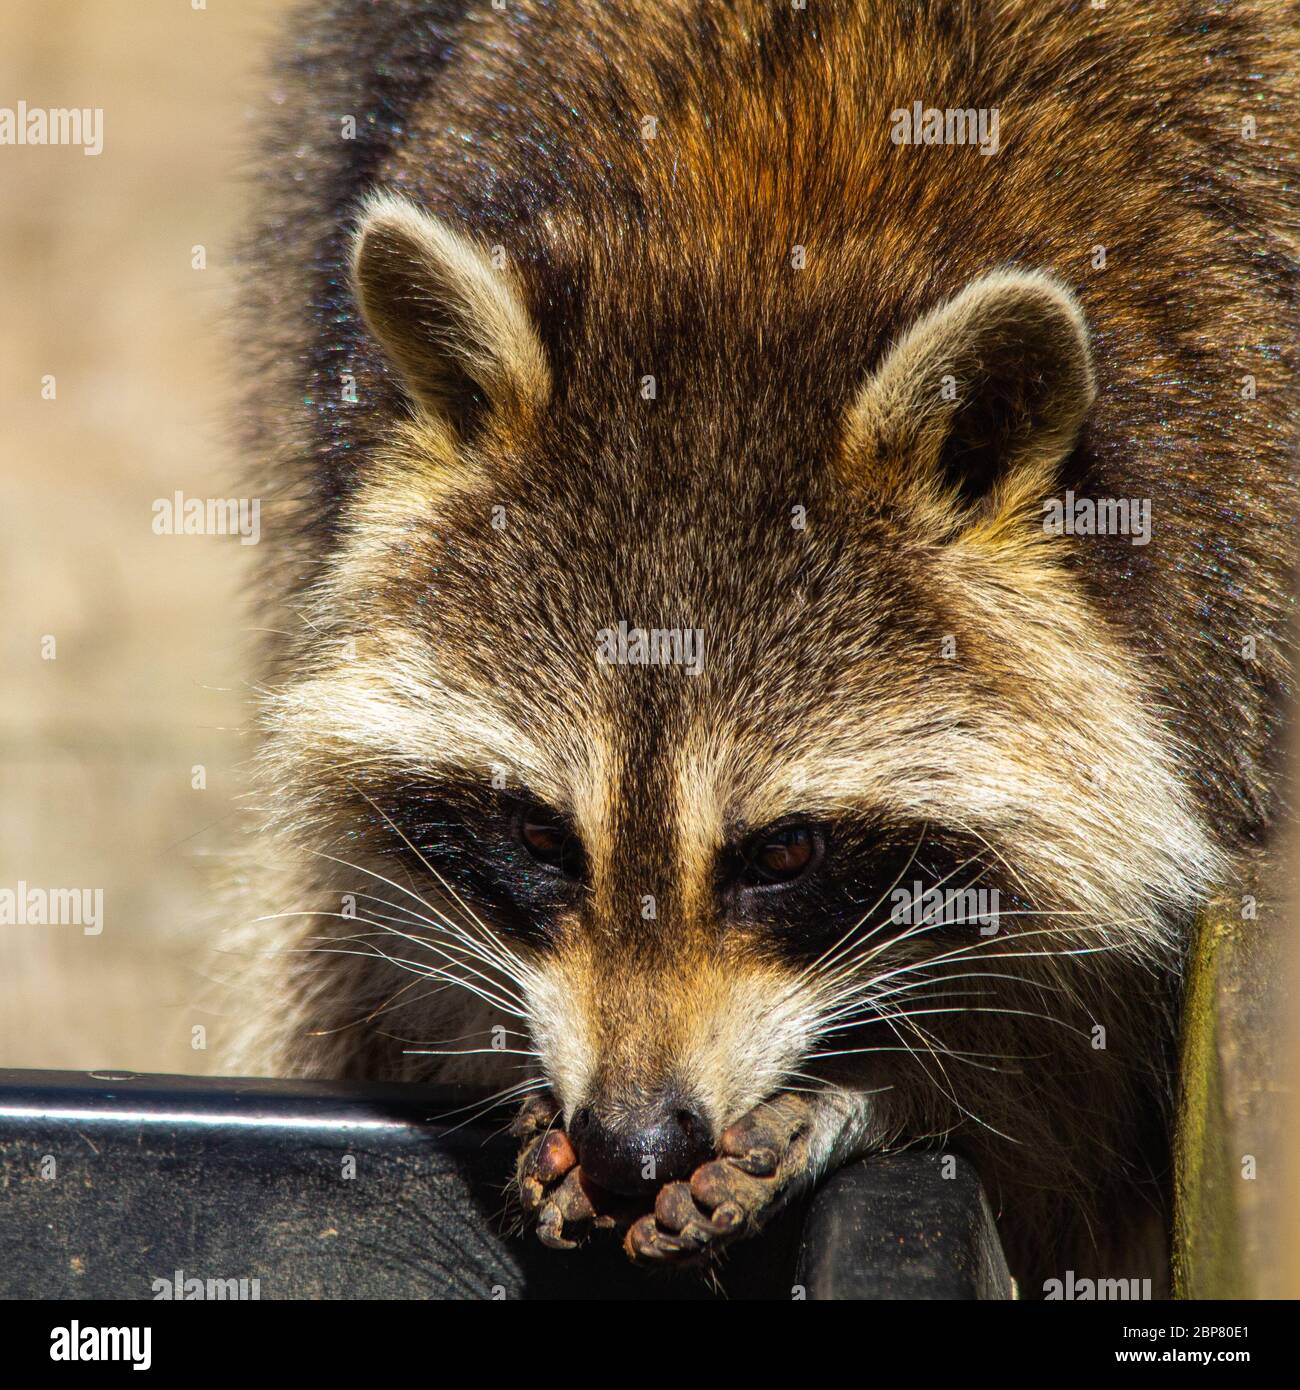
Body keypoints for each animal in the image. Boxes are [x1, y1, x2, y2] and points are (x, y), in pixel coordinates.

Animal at [229, 0, 1295, 1289]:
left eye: (783, 853)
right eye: (539, 837)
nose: (631, 1142)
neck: (762, 244)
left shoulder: (1232, 595)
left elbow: (1083, 1094)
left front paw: (887, 1092)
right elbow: (371, 925)